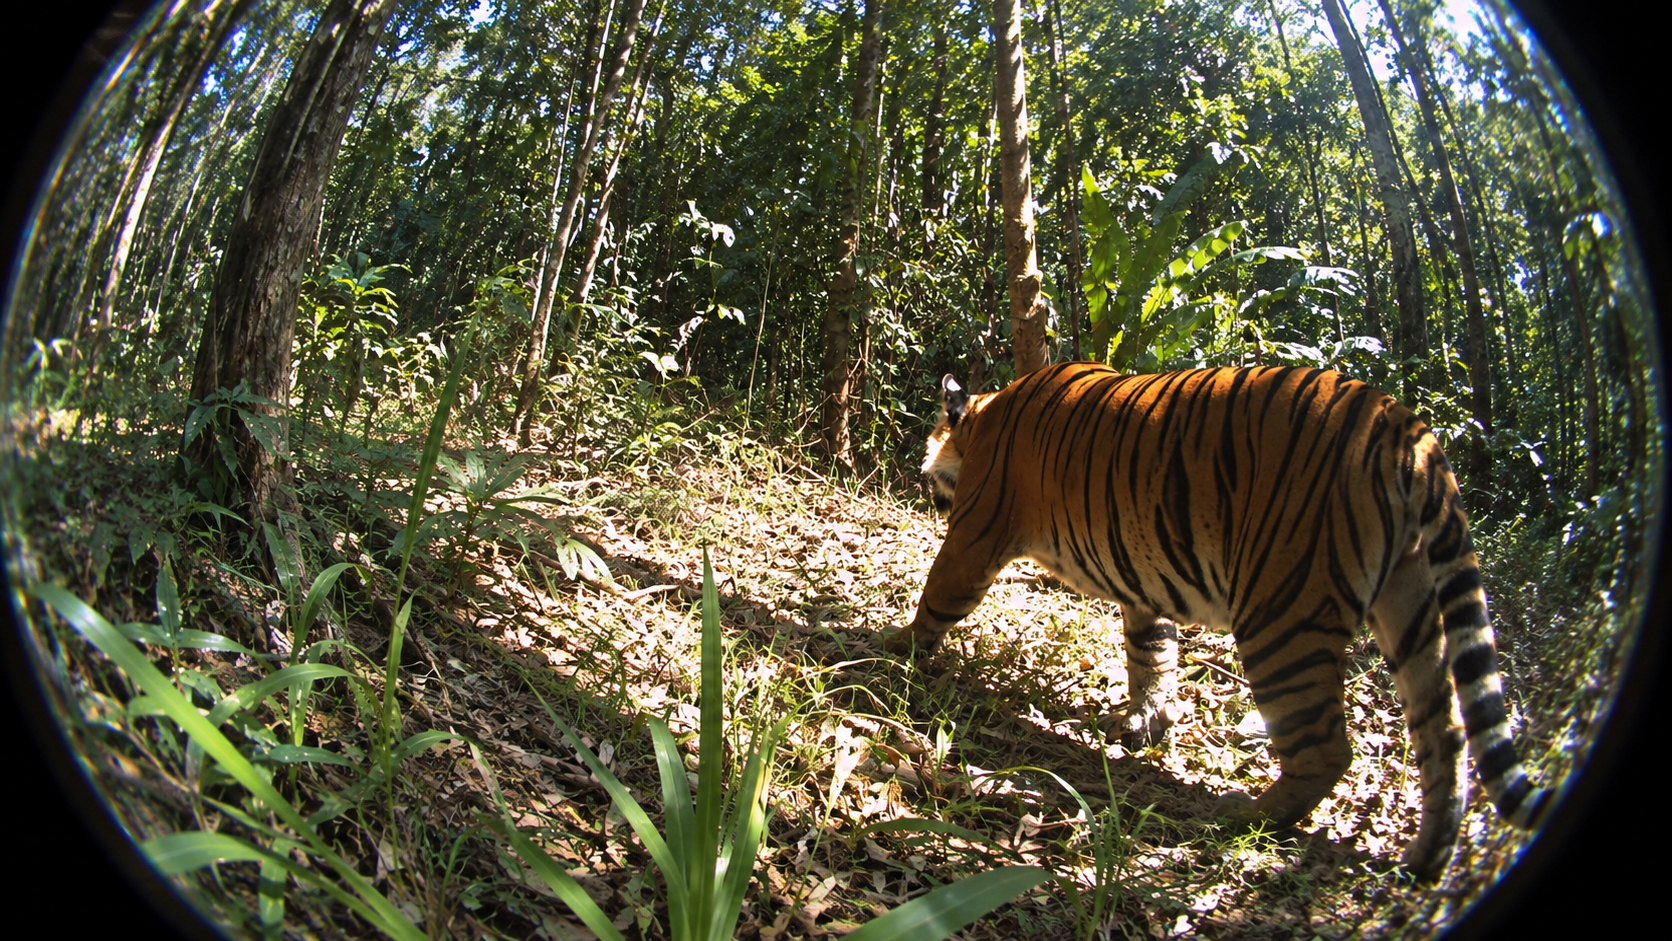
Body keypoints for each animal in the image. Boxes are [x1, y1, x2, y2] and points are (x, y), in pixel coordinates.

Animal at [883, 361, 1552, 882]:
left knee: (1327, 747)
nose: (923, 484)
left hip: (1281, 609)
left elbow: (938, 593)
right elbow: (1151, 652)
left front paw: (894, 647)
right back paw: (1427, 855)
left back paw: (1244, 816)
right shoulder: (1142, 577)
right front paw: (1146, 721)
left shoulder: (977, 531)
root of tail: (1407, 430)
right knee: (1445, 730)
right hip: (1411, 605)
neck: (984, 417)